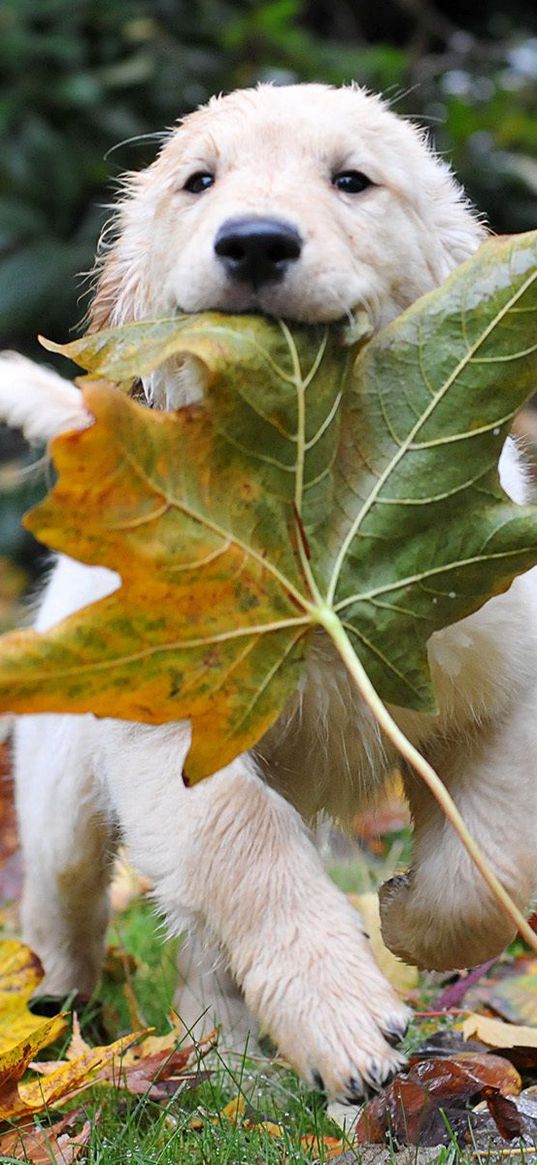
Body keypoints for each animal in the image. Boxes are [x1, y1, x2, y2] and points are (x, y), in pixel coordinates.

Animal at [1, 84, 535, 1099]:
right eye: (198, 181)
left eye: (351, 181)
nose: (254, 242)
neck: (302, 500)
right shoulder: (175, 730)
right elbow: (243, 840)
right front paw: (344, 1014)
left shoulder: (504, 676)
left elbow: (494, 856)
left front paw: (408, 922)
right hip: (60, 789)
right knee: (68, 904)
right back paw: (64, 1023)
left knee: (198, 943)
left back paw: (224, 1053)